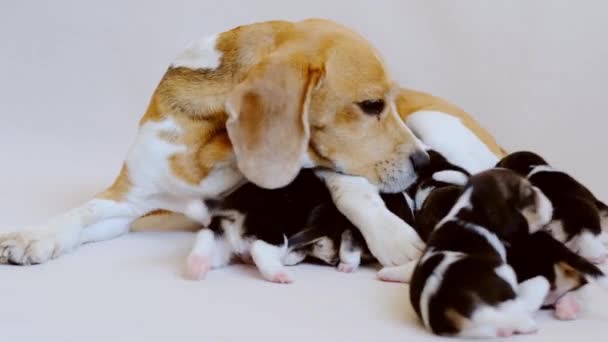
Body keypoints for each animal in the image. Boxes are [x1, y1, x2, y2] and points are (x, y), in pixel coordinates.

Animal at [0, 18, 504, 268]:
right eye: (370, 105)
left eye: (387, 103)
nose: (420, 163)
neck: (212, 146)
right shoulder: (132, 201)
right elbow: (81, 212)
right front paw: (34, 236)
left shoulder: (317, 165)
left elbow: (350, 186)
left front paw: (392, 236)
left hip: (432, 121)